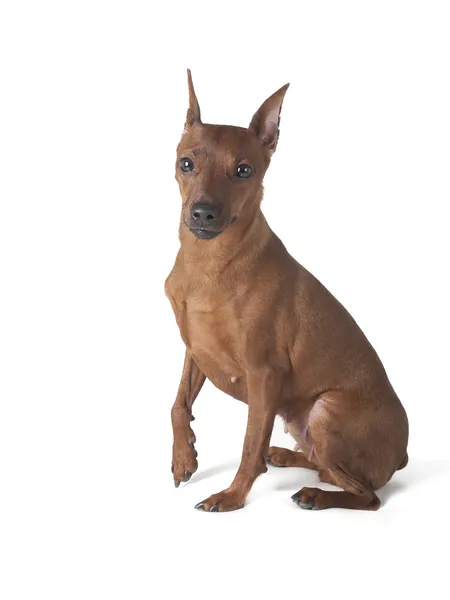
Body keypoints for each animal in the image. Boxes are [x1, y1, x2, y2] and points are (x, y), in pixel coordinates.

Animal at [164, 70, 408, 510]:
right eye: (186, 163)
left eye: (244, 170)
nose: (203, 213)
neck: (209, 264)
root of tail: (402, 455)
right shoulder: (194, 348)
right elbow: (177, 405)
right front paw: (183, 457)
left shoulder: (264, 375)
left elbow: (248, 446)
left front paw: (232, 496)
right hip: (302, 421)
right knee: (324, 466)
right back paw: (284, 455)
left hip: (325, 410)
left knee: (366, 495)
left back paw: (314, 494)